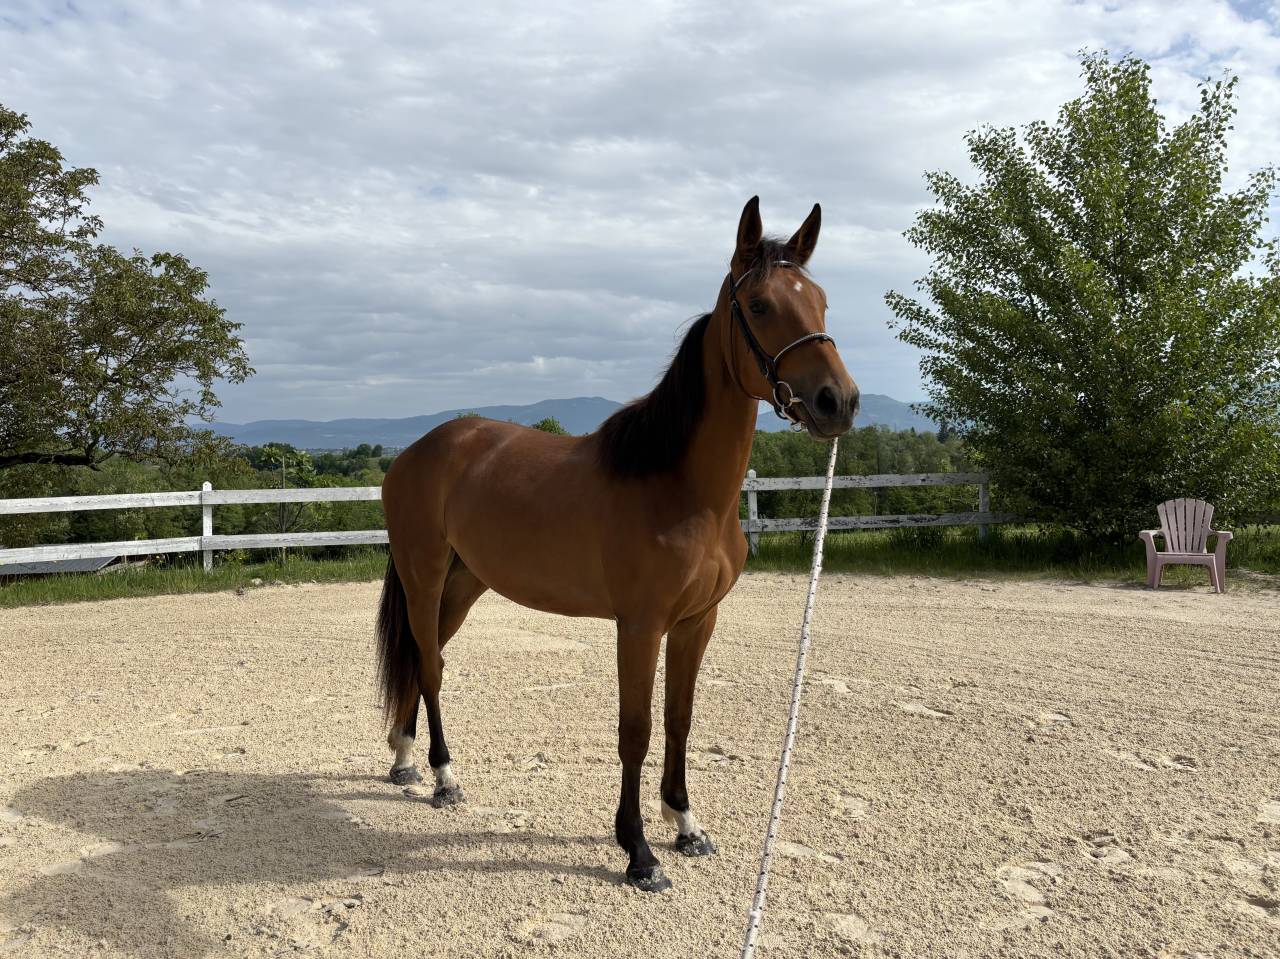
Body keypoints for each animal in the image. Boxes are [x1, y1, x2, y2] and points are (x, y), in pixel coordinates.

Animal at [376, 196, 859, 892]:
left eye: (820, 300)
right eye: (761, 304)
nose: (837, 402)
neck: (681, 487)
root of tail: (414, 453)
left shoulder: (696, 622)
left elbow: (680, 719)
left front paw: (686, 824)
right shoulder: (640, 625)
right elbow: (637, 729)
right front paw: (639, 852)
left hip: (465, 583)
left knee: (423, 654)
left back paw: (404, 758)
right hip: (425, 574)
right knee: (432, 664)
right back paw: (442, 776)